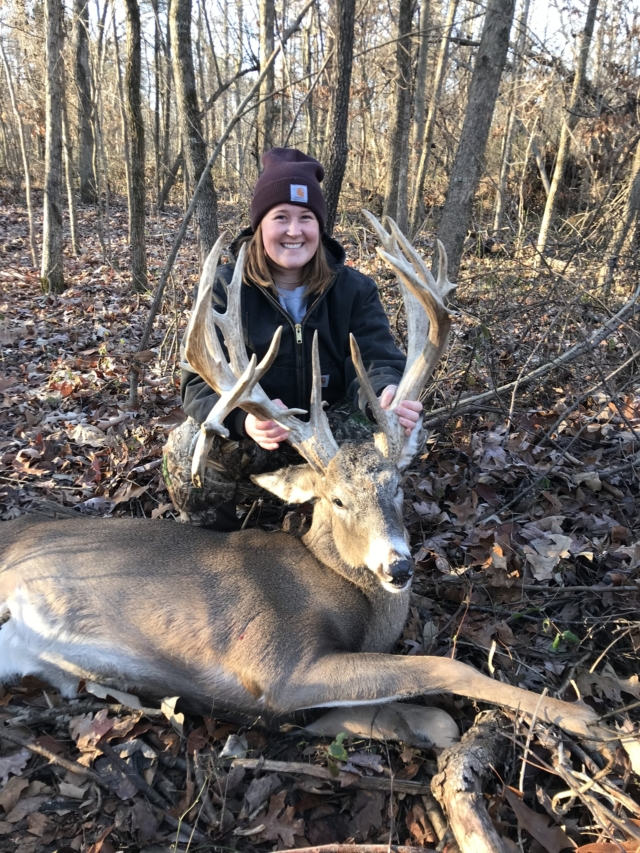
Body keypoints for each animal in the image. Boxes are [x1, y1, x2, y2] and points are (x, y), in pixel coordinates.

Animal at [0, 214, 600, 741]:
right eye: (335, 500)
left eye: (398, 486)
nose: (399, 566)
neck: (341, 590)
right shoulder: (276, 662)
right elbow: (448, 669)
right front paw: (583, 718)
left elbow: (437, 722)